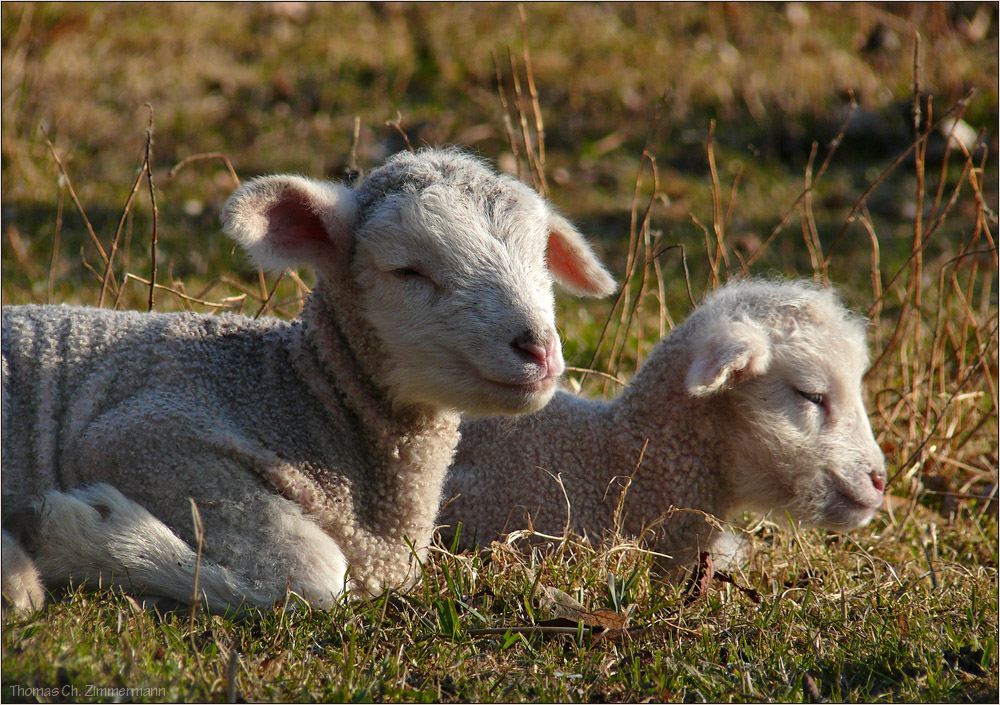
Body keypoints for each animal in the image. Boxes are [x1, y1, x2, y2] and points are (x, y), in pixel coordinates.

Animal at [0, 147, 616, 612]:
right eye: (407, 270)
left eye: (542, 257)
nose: (538, 348)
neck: (297, 397)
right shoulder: (142, 434)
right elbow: (315, 574)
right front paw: (81, 533)